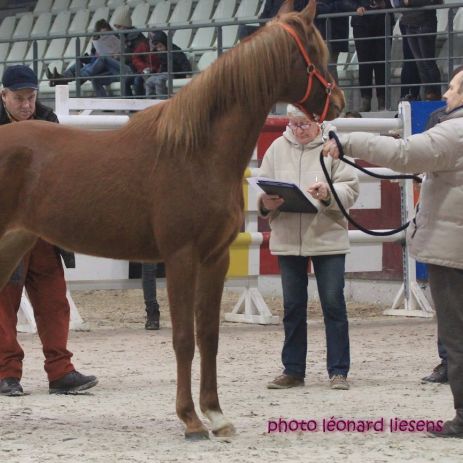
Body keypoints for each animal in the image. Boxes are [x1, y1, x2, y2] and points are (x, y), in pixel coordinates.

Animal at [0, 0, 344, 440]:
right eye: (315, 52)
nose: (339, 102)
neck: (197, 152)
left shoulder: (214, 258)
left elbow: (209, 335)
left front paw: (216, 414)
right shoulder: (181, 257)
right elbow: (183, 339)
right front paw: (191, 420)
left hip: (12, 246)